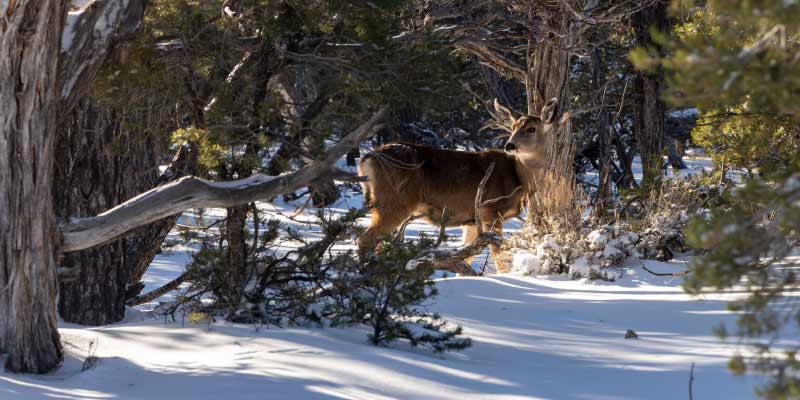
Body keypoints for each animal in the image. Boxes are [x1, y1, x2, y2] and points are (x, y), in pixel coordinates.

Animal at [356, 98, 568, 272]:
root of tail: (367, 159)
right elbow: (499, 255)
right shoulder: (490, 210)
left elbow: (466, 257)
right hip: (395, 201)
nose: (509, 145)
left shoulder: (472, 219)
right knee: (365, 239)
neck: (519, 179)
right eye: (513, 127)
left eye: (532, 128)